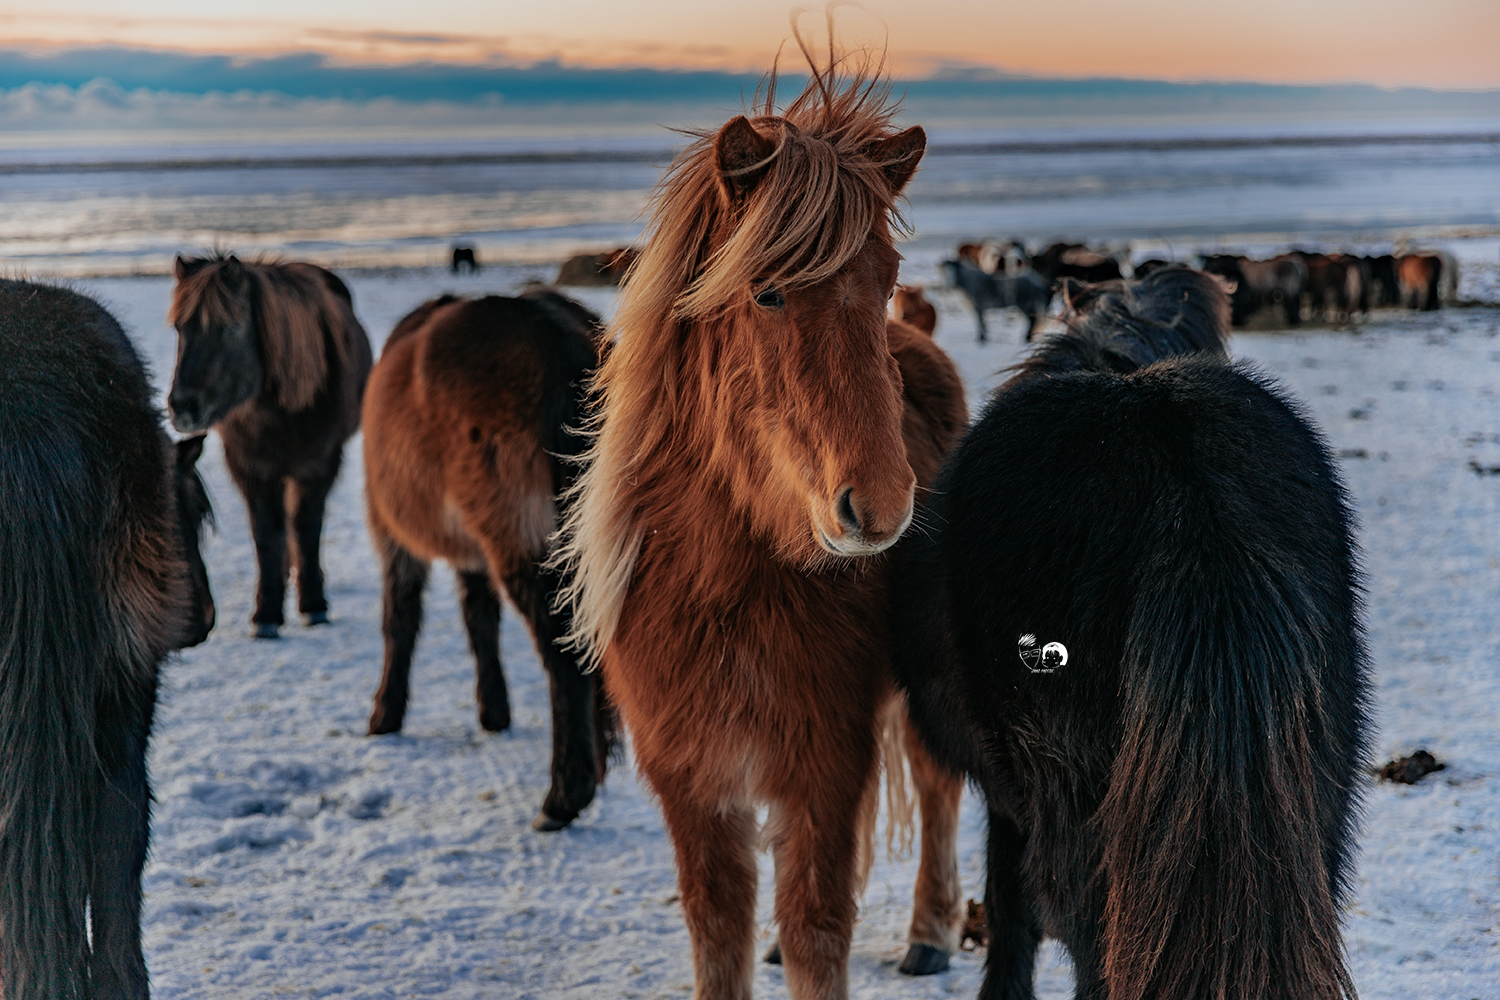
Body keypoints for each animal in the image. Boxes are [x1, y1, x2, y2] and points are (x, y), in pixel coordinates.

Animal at [165, 254, 370, 638]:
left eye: (230, 327)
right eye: (179, 328)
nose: (182, 407)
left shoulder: (318, 465)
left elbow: (305, 527)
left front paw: (314, 605)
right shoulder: (252, 469)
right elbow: (267, 533)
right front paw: (267, 613)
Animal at [363, 290, 615, 839]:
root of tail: (551, 331)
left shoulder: (394, 539)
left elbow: (399, 619)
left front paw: (385, 715)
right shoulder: (471, 556)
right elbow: (480, 620)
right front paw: (494, 710)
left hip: (521, 542)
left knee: (566, 656)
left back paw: (563, 796)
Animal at [555, 56, 972, 1000]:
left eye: (886, 278)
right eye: (768, 291)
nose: (881, 506)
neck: (725, 589)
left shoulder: (824, 764)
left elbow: (820, 930)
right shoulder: (694, 783)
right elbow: (722, 933)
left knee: (936, 790)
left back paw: (931, 932)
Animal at [888, 265, 1374, 1000]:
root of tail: (1181, 476)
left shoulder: (1007, 800)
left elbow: (1010, 906)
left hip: (1067, 793)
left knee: (1092, 934)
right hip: (1318, 789)